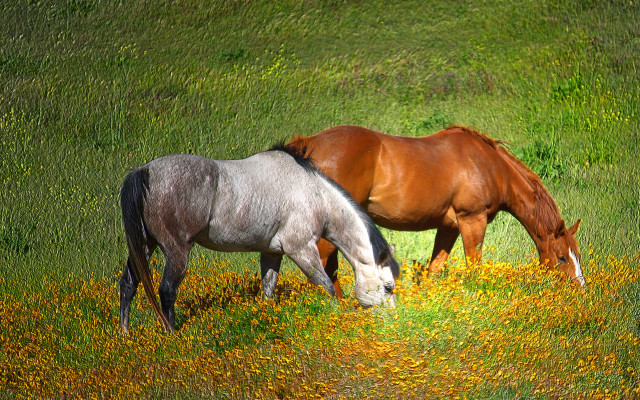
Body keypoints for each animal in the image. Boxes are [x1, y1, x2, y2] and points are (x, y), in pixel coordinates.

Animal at [119, 146, 399, 333]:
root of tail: (144, 171)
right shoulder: (301, 250)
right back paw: (172, 333)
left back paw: (125, 333)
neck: (315, 194)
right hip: (177, 251)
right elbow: (326, 286)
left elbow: (268, 289)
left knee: (128, 284)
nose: (394, 321)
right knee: (166, 290)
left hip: (144, 246)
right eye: (388, 287)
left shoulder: (272, 253)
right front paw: (335, 316)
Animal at [285, 125, 584, 296]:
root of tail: (310, 144)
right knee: (324, 260)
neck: (489, 166)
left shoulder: (448, 227)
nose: (580, 289)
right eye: (561, 258)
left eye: (577, 255)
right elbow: (474, 266)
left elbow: (435, 268)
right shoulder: (472, 221)